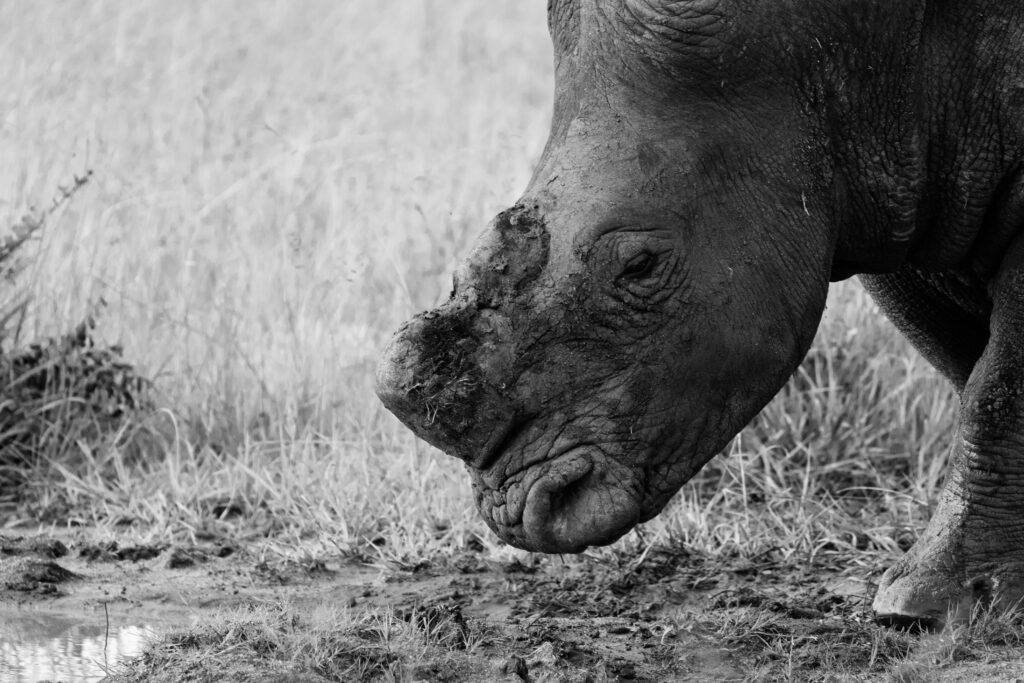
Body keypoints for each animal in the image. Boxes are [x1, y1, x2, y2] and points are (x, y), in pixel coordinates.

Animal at [376, 0, 1024, 626]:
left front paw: (928, 606)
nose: (513, 510)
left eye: (640, 266)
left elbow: (995, 391)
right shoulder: (893, 183)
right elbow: (965, 365)